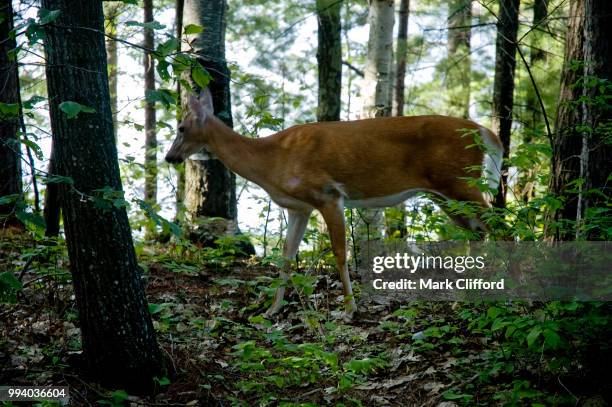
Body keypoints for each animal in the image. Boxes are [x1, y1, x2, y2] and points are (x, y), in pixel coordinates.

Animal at [164, 88, 502, 318]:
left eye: (181, 128)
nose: (169, 157)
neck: (271, 159)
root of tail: (488, 134)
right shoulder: (298, 207)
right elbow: (286, 257)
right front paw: (272, 310)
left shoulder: (329, 194)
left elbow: (340, 252)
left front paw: (350, 309)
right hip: (445, 194)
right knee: (477, 233)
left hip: (461, 182)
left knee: (498, 225)